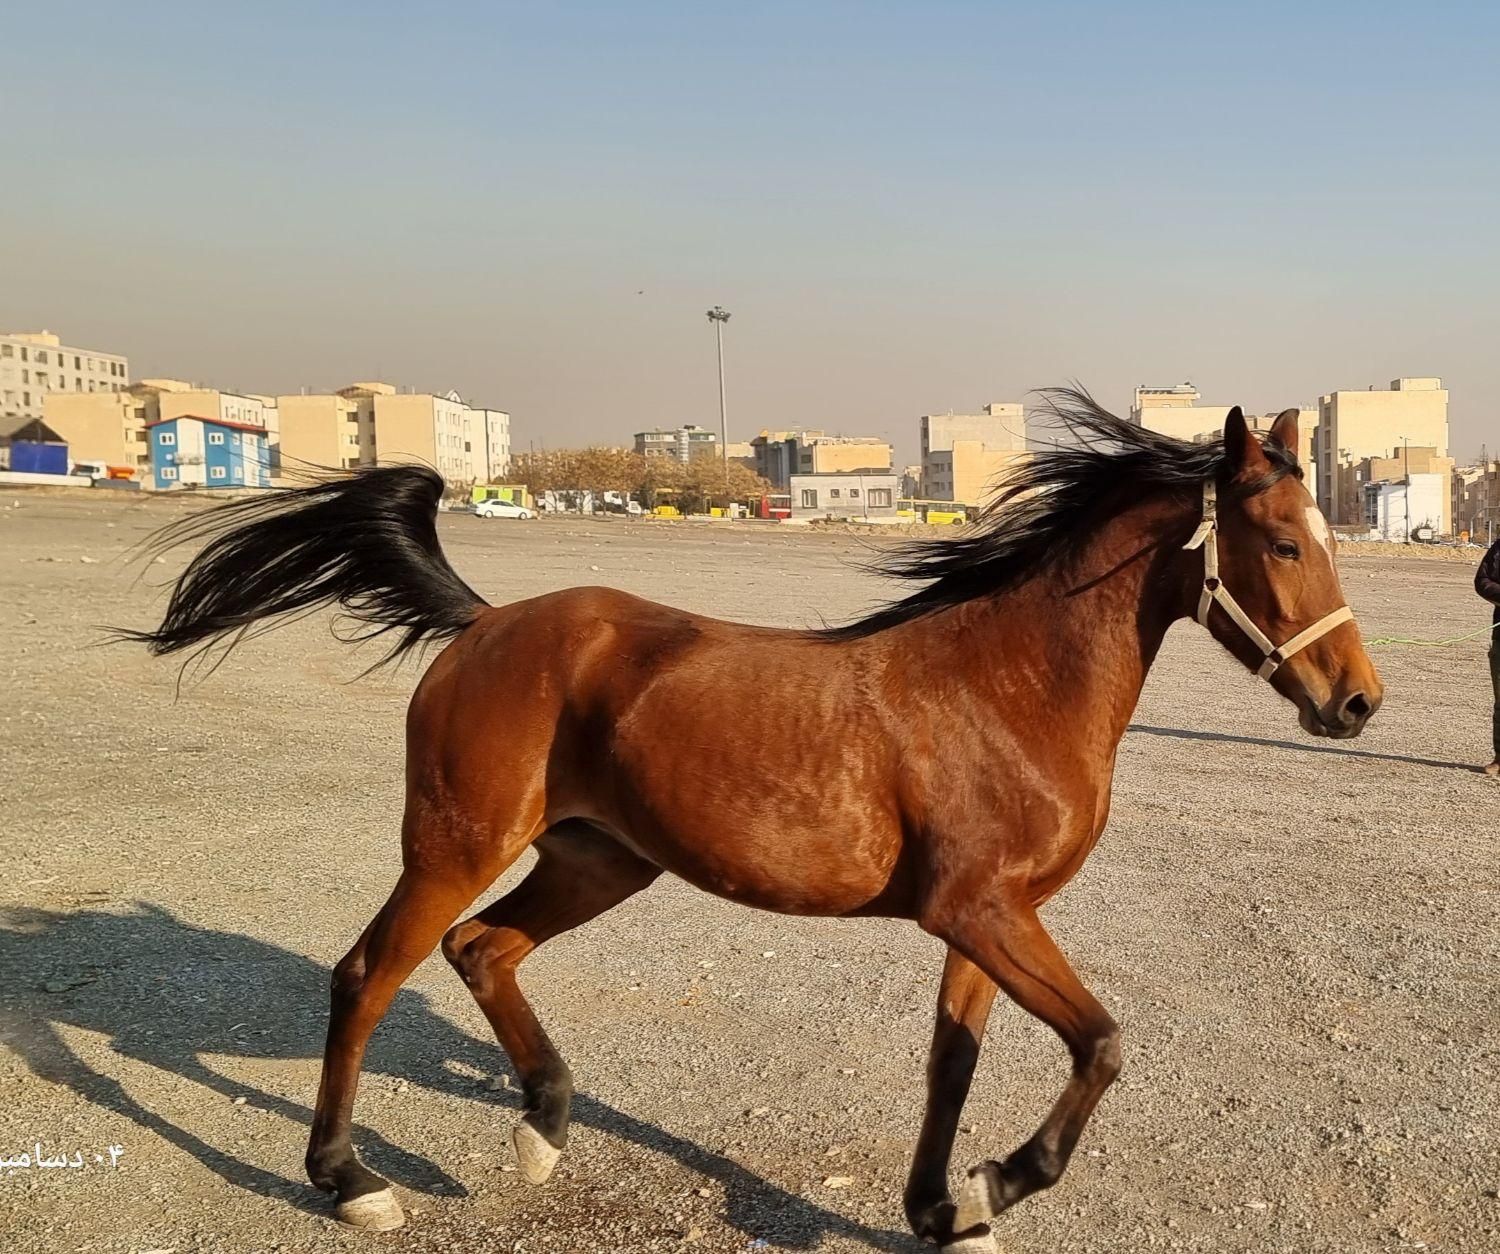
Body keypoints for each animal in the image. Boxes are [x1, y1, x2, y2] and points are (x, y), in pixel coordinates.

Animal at [126, 399, 1380, 1254]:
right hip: (455, 844)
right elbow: (1104, 1044)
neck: (1008, 689)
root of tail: (484, 626)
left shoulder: (985, 919)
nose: (1358, 702)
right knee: (368, 973)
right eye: (1282, 543)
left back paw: (543, 1129)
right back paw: (351, 1181)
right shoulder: (980, 910)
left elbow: (952, 1064)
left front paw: (940, 1207)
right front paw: (996, 1184)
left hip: (599, 863)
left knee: (479, 951)